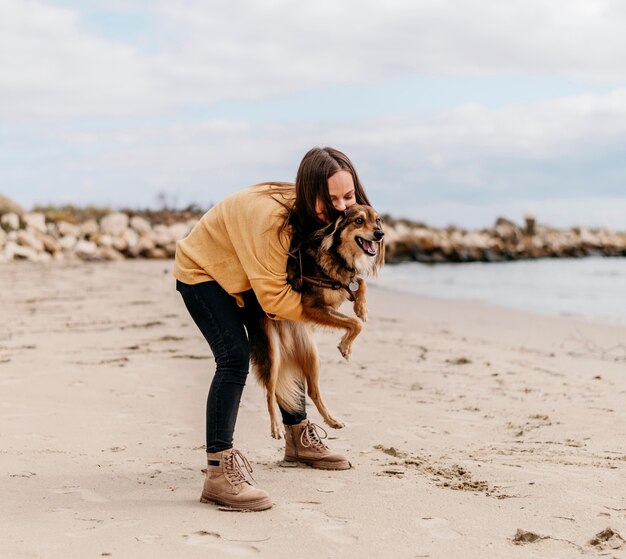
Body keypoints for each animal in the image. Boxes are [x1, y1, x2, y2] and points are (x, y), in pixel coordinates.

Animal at [241, 203, 382, 440]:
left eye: (378, 220)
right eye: (359, 221)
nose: (380, 234)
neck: (337, 255)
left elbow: (359, 284)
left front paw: (361, 307)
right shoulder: (312, 306)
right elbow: (356, 323)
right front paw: (345, 347)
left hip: (312, 356)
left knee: (312, 391)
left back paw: (332, 420)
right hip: (272, 353)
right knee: (270, 391)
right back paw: (276, 426)